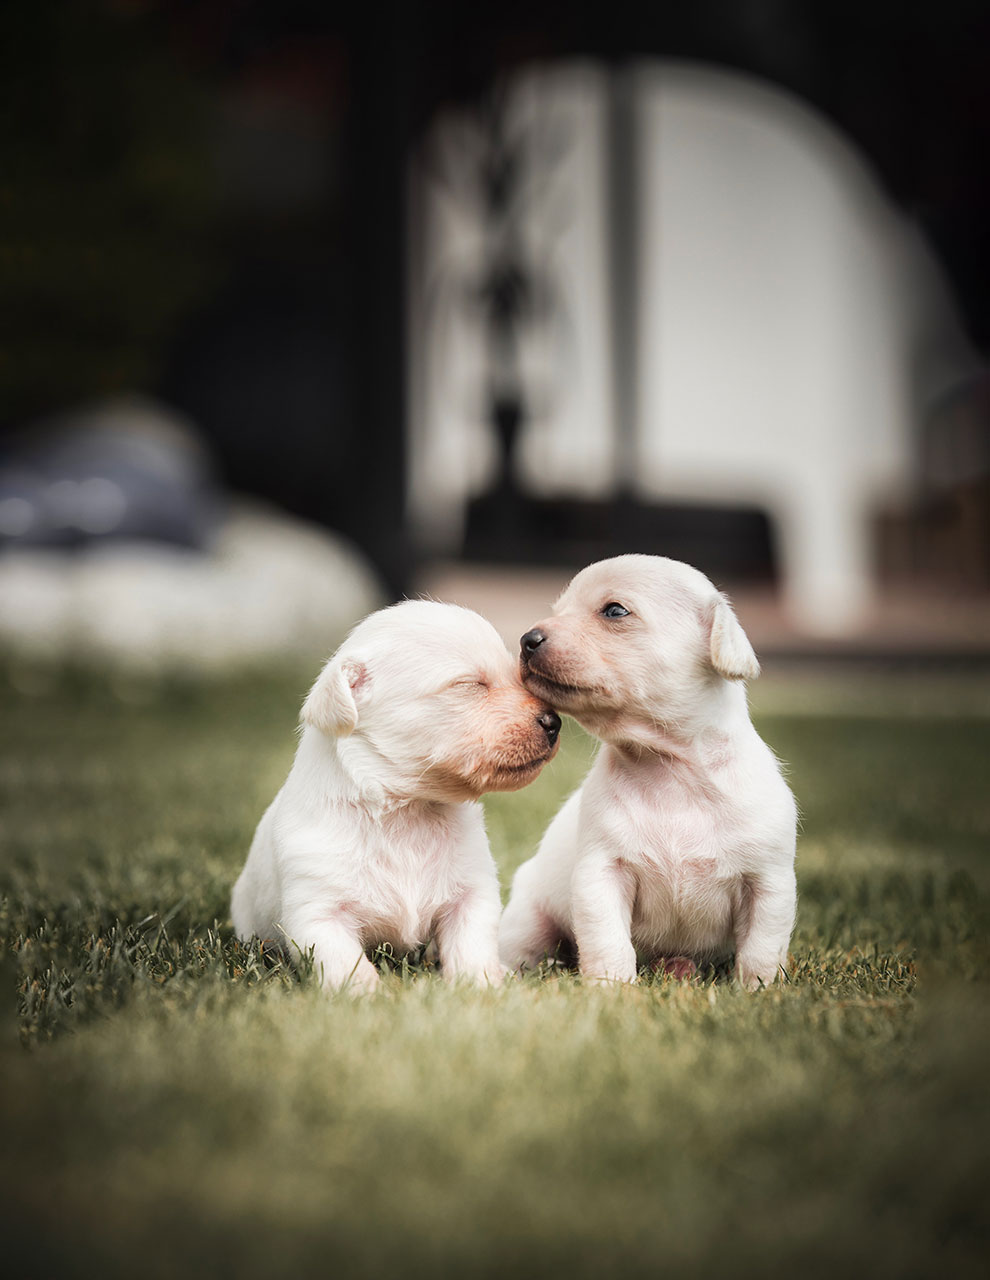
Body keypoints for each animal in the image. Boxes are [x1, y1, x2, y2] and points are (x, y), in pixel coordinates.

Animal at [227, 599, 560, 988]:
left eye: (517, 676)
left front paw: (483, 984)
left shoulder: (471, 894)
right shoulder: (318, 913)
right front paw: (365, 992)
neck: (406, 809)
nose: (554, 723)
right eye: (469, 685)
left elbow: (472, 948)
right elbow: (345, 963)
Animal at [499, 552, 799, 988]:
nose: (527, 639)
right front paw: (611, 987)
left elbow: (761, 949)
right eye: (557, 611)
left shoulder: (768, 883)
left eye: (614, 611)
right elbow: (608, 940)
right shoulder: (601, 875)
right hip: (529, 919)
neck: (670, 770)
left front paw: (757, 991)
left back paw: (678, 967)